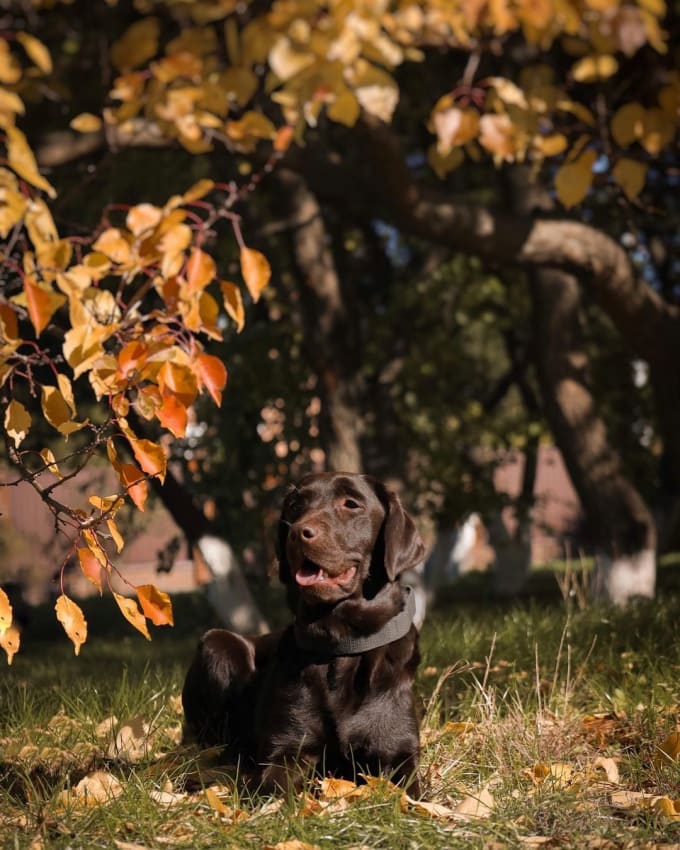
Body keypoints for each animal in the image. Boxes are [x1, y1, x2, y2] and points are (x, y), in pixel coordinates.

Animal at [182, 474, 424, 792]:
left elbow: (408, 792)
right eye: (296, 505)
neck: (342, 642)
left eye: (351, 504)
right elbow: (273, 784)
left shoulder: (398, 754)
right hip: (217, 643)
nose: (298, 534)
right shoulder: (285, 750)